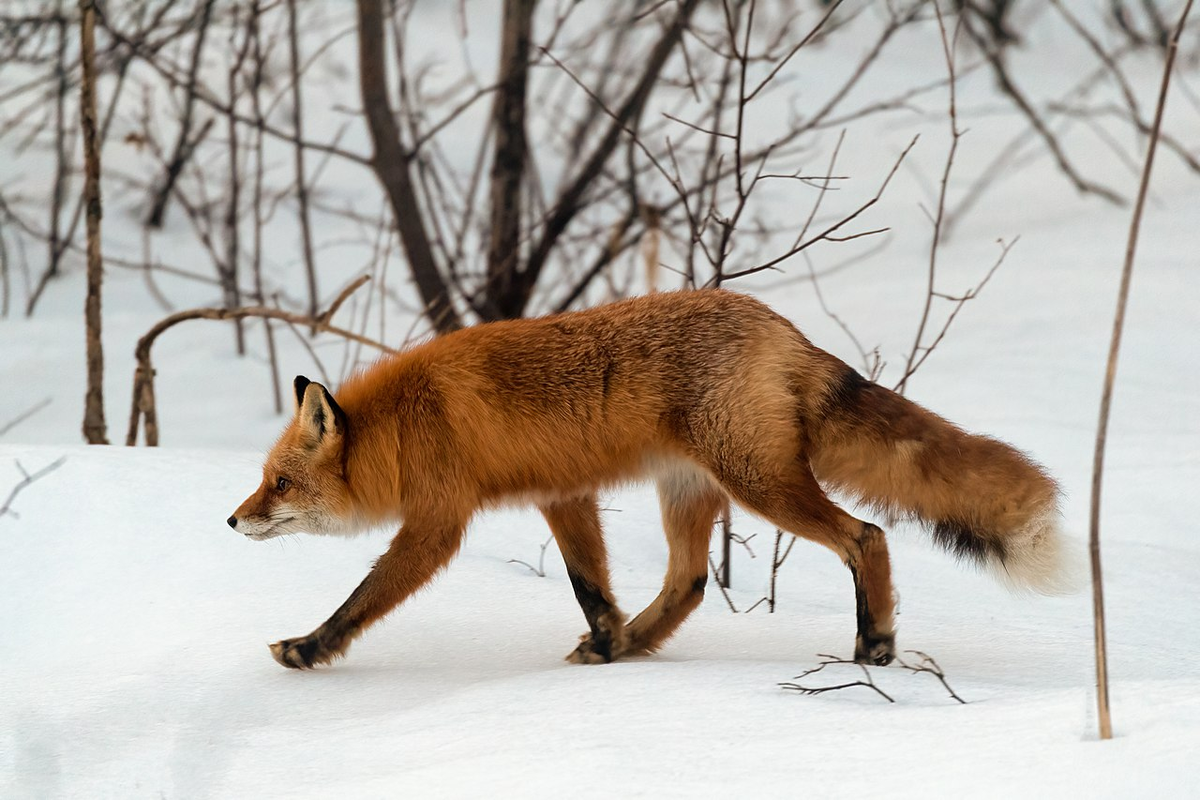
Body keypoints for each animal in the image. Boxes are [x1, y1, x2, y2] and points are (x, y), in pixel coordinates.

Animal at [229, 287, 1065, 671]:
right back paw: (631, 646)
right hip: (690, 492)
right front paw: (604, 642)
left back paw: (874, 648)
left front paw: (307, 648)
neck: (405, 425)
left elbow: (362, 598)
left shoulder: (438, 523)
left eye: (279, 484)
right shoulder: (561, 494)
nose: (232, 521)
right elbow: (590, 586)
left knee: (867, 537)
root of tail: (782, 327)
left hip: (760, 484)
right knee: (689, 583)